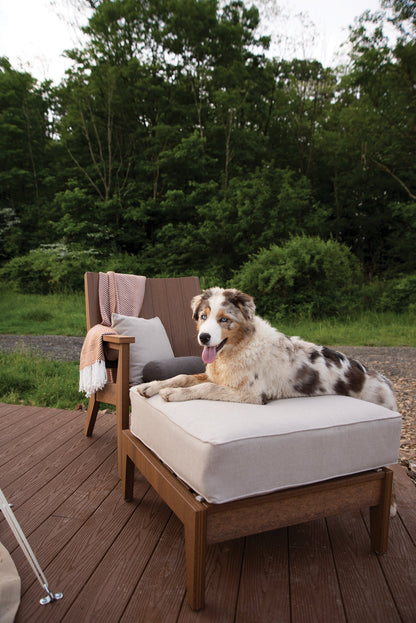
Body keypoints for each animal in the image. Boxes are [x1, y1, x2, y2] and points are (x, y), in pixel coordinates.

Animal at [137, 288, 396, 414]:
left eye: (224, 319)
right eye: (203, 316)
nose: (204, 338)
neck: (241, 347)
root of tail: (384, 380)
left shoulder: (252, 394)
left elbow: (205, 388)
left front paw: (172, 394)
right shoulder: (215, 375)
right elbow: (182, 376)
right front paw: (150, 386)